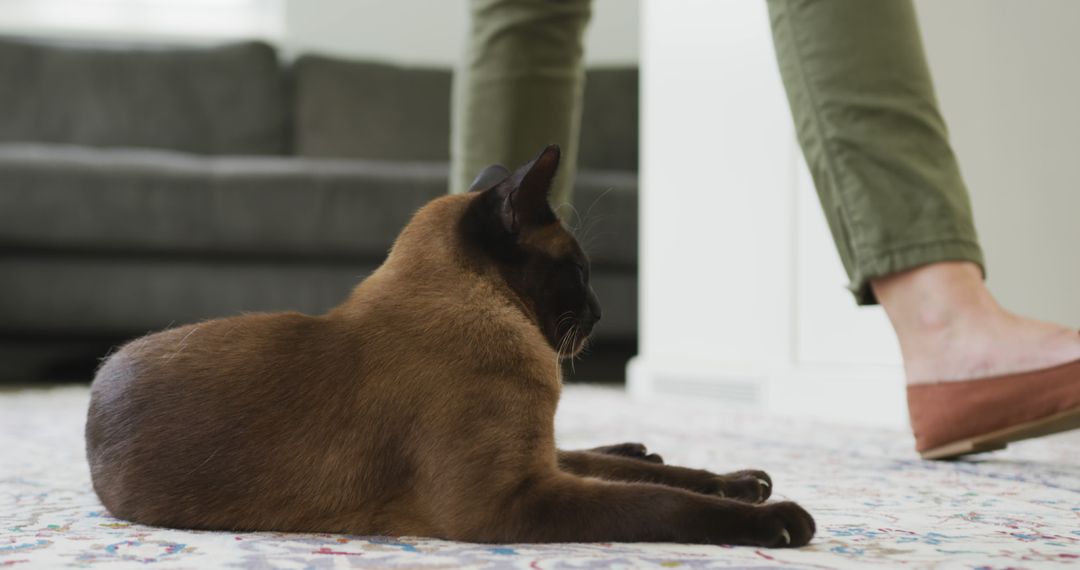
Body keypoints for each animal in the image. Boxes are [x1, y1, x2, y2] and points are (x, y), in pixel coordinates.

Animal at [84, 145, 812, 548]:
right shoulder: (514, 498)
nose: (603, 314)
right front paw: (779, 518)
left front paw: (742, 483)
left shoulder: (532, 466)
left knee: (613, 456)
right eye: (580, 271)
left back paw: (650, 449)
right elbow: (661, 503)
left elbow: (670, 479)